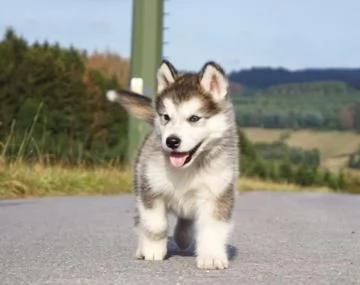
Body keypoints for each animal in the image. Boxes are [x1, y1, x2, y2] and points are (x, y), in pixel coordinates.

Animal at [107, 60, 239, 268]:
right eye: (166, 117)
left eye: (194, 118)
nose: (171, 141)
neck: (187, 168)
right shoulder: (150, 188)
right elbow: (155, 223)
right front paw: (153, 250)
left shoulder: (217, 194)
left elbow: (212, 228)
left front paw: (211, 257)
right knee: (141, 221)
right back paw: (143, 248)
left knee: (186, 220)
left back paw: (183, 237)